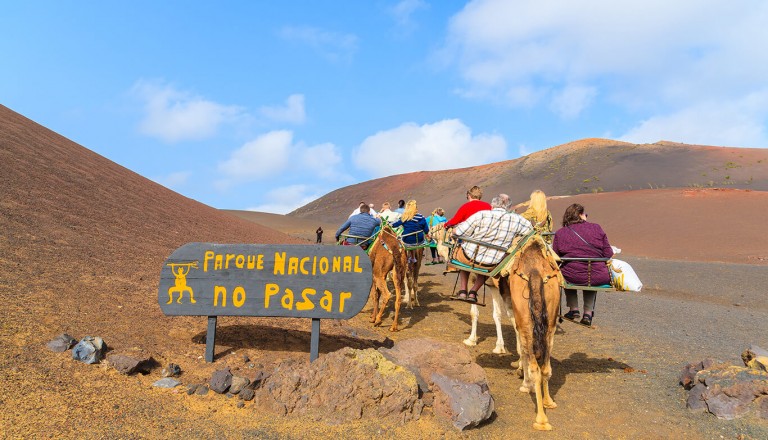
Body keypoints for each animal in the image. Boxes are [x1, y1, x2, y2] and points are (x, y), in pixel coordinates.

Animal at [498, 235, 564, 432]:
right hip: (550, 322)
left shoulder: (514, 311)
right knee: (546, 367)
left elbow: (522, 348)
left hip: (526, 319)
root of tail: (535, 272)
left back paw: (541, 420)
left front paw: (524, 381)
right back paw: (548, 402)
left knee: (534, 364)